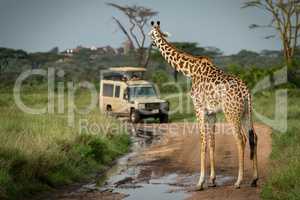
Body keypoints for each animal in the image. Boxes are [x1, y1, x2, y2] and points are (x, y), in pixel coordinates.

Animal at [149, 21, 258, 190]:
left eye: (150, 35)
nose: (151, 44)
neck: (190, 70)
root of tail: (246, 91)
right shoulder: (211, 112)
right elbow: (212, 142)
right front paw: (212, 180)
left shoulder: (199, 108)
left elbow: (203, 142)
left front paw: (200, 182)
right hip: (246, 112)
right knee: (254, 137)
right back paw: (254, 179)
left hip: (231, 113)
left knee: (241, 139)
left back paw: (238, 182)